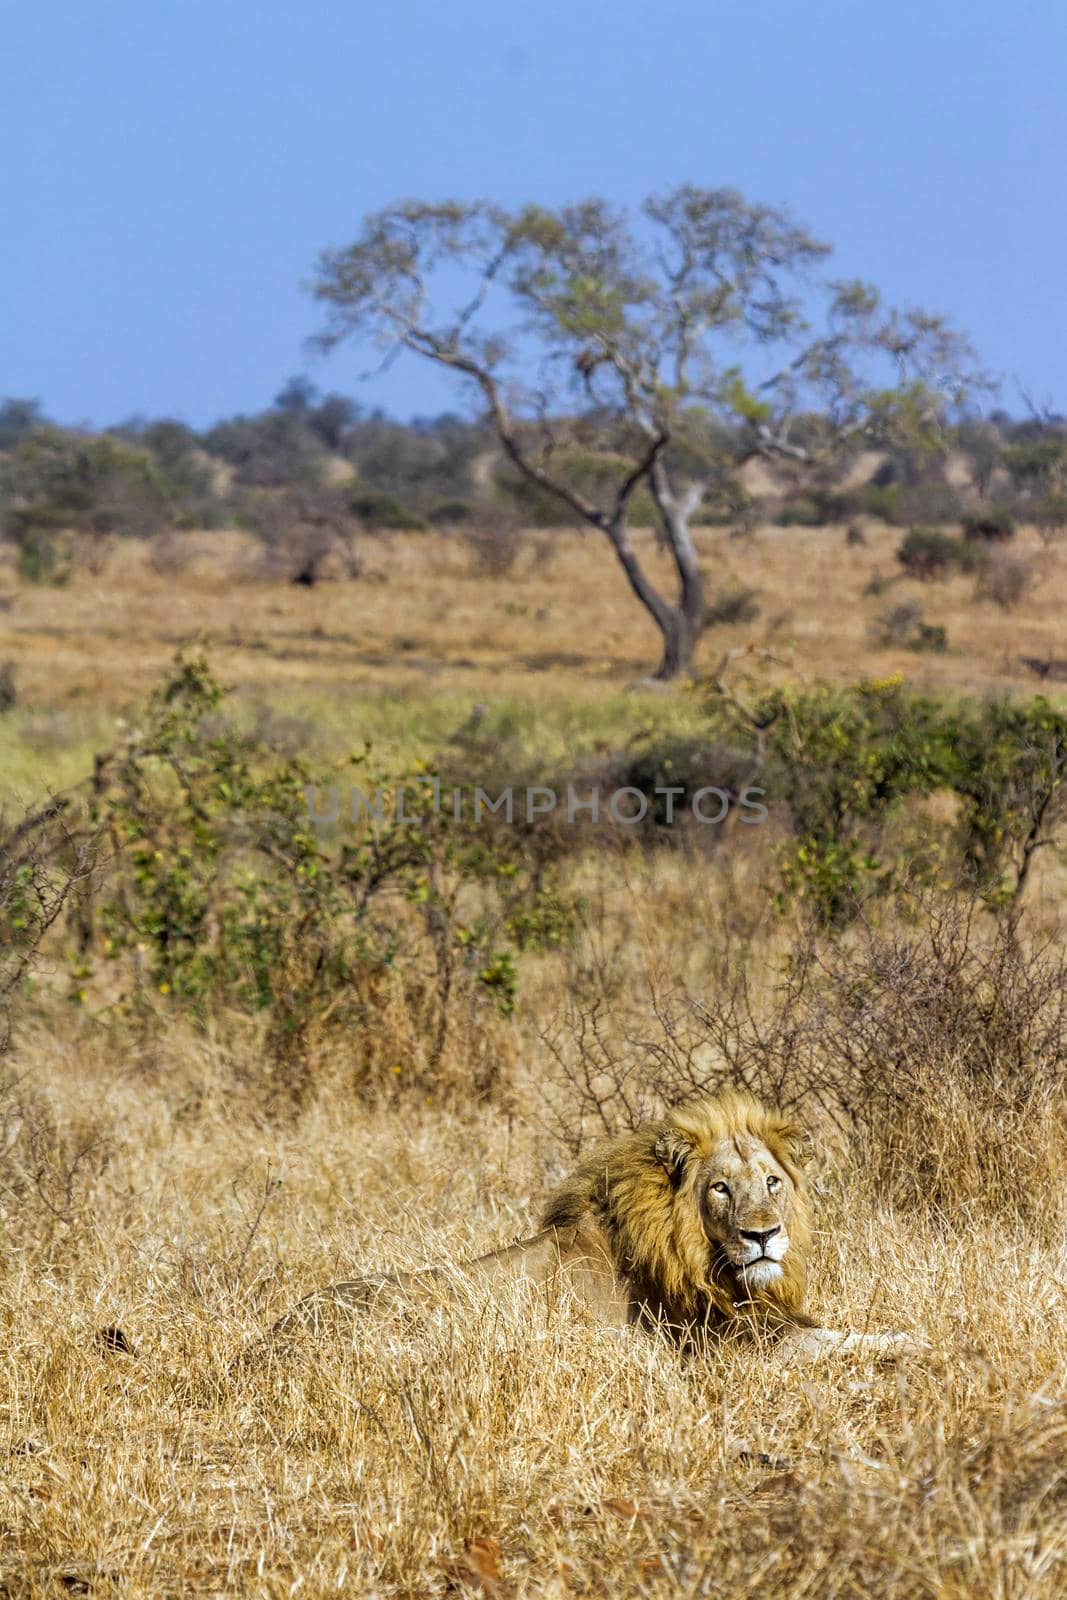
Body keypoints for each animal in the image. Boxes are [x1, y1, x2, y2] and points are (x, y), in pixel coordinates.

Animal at [273, 1094, 921, 1369]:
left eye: (772, 1182)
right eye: (720, 1188)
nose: (764, 1235)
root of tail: (272, 1338)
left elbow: (836, 1329)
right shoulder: (726, 1354)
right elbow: (835, 1343)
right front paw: (915, 1347)